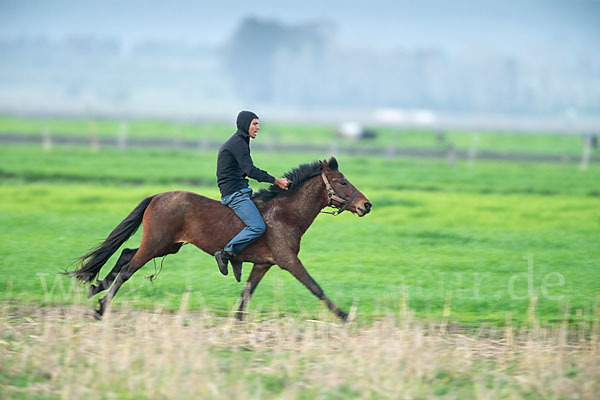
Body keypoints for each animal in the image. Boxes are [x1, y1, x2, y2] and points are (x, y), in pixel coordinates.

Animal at [70, 157, 370, 322]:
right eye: (342, 181)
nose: (366, 205)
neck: (287, 213)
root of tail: (157, 196)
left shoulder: (263, 264)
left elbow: (246, 295)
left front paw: (237, 323)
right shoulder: (288, 260)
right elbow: (315, 287)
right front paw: (345, 315)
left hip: (167, 246)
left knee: (125, 254)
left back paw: (97, 287)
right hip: (155, 244)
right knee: (127, 270)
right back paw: (101, 307)